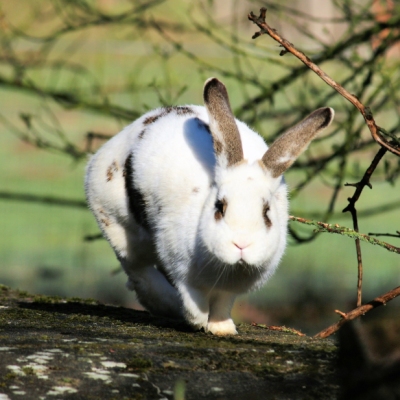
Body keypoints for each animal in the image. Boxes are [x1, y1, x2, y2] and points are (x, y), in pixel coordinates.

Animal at [85, 77, 334, 334]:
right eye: (219, 207)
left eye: (266, 212)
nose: (241, 244)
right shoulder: (183, 273)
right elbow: (195, 303)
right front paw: (197, 322)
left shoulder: (228, 290)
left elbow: (222, 305)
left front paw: (223, 329)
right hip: (119, 226)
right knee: (138, 271)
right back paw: (169, 305)